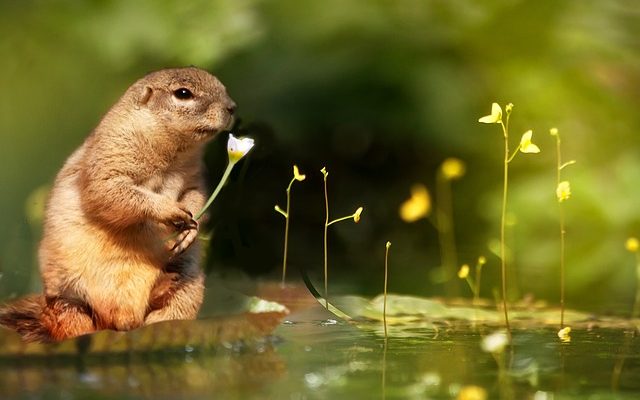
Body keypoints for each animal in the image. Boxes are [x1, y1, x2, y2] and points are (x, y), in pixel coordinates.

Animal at [0, 67, 236, 342]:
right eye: (183, 93)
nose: (232, 107)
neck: (172, 154)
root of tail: (123, 321)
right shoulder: (112, 156)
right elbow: (111, 192)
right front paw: (168, 210)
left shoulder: (194, 178)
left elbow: (195, 196)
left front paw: (190, 229)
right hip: (68, 302)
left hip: (188, 285)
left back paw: (164, 288)